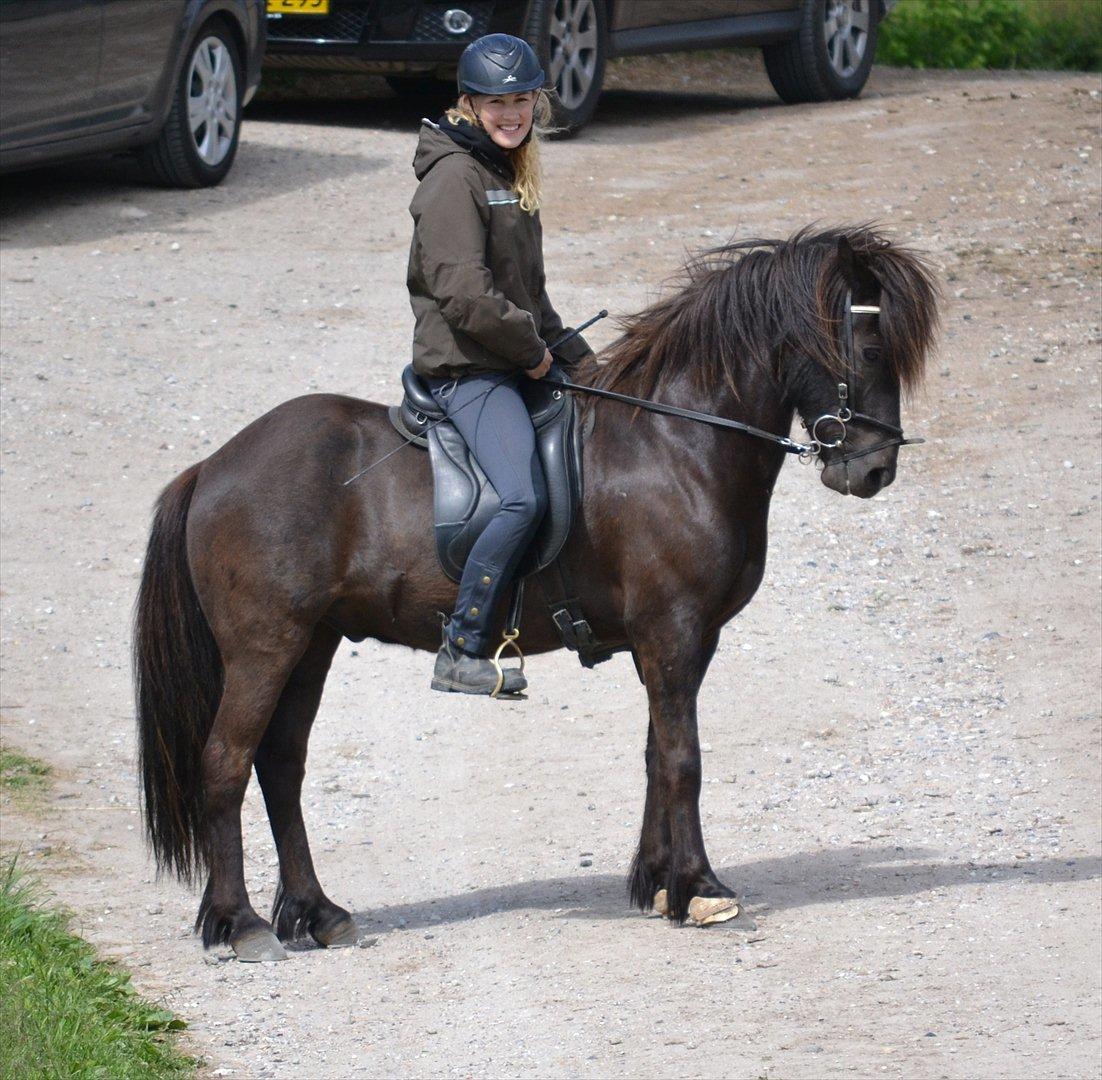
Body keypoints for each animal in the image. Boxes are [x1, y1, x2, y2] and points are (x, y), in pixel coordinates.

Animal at [131, 225, 938, 960]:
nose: (873, 472)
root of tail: (212, 467)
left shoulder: (680, 642)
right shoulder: (673, 633)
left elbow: (656, 753)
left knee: (281, 767)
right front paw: (699, 889)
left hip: (311, 645)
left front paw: (655, 881)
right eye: (869, 351)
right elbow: (684, 760)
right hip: (265, 648)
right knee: (226, 763)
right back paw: (238, 923)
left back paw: (315, 912)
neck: (675, 445)